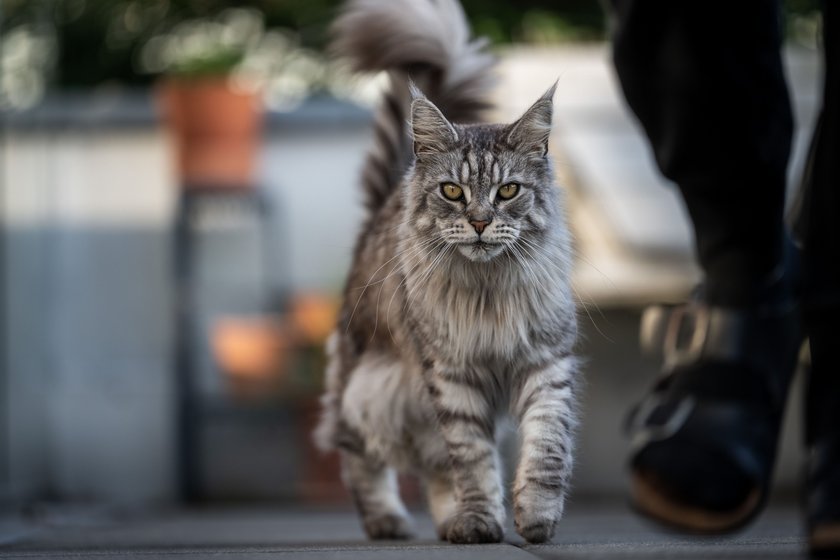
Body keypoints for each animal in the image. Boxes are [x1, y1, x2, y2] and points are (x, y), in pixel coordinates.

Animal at [316, 0, 576, 544]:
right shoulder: (453, 375)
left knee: (435, 467)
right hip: (367, 390)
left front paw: (535, 518)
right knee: (357, 456)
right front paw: (479, 520)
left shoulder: (546, 365)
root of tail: (385, 201)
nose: (479, 222)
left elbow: (546, 447)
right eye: (453, 191)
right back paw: (389, 521)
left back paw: (446, 520)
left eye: (508, 191)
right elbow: (472, 458)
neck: (489, 291)